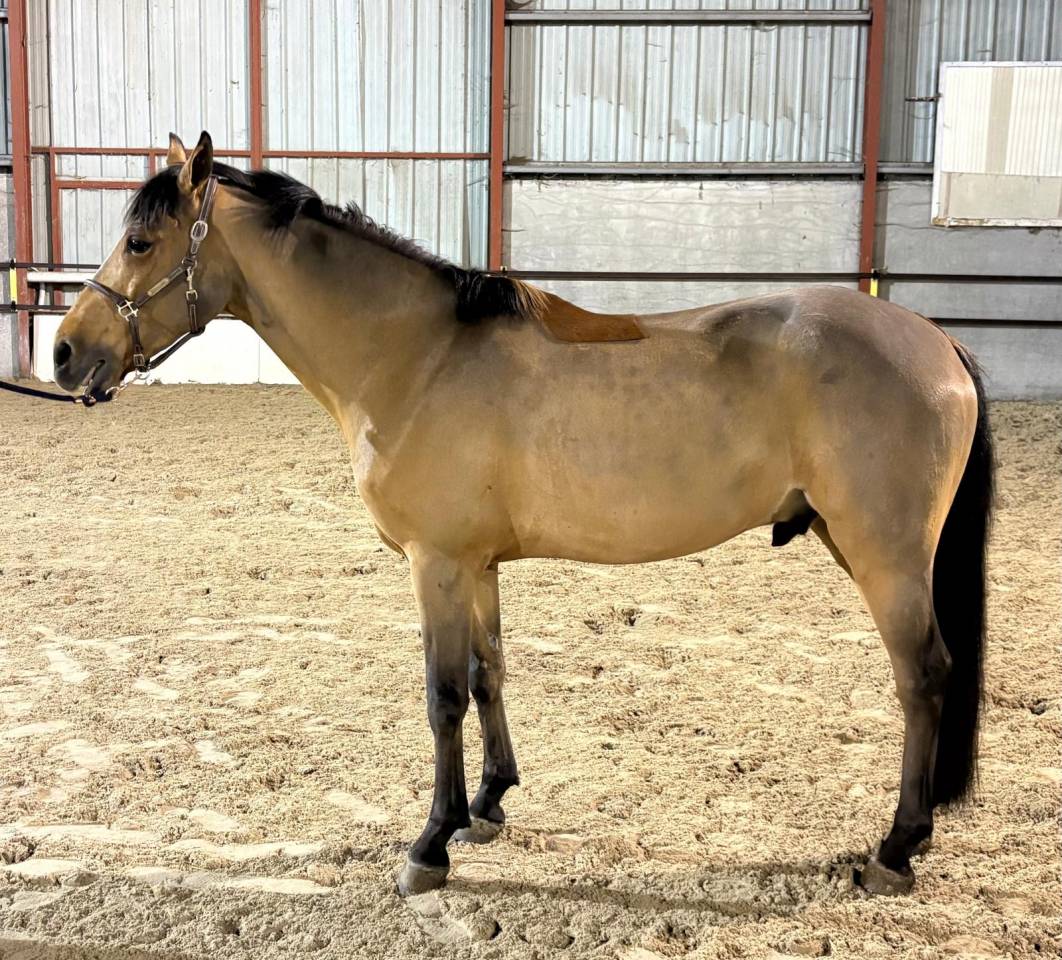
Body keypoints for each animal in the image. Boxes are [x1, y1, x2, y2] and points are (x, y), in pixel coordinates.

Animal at [52, 131, 994, 898]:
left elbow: (440, 696)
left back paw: (896, 850)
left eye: (140, 241)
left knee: (923, 677)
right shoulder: (476, 564)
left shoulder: (433, 563)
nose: (64, 353)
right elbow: (488, 674)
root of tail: (934, 340)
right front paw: (487, 803)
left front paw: (430, 845)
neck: (417, 356)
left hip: (886, 559)